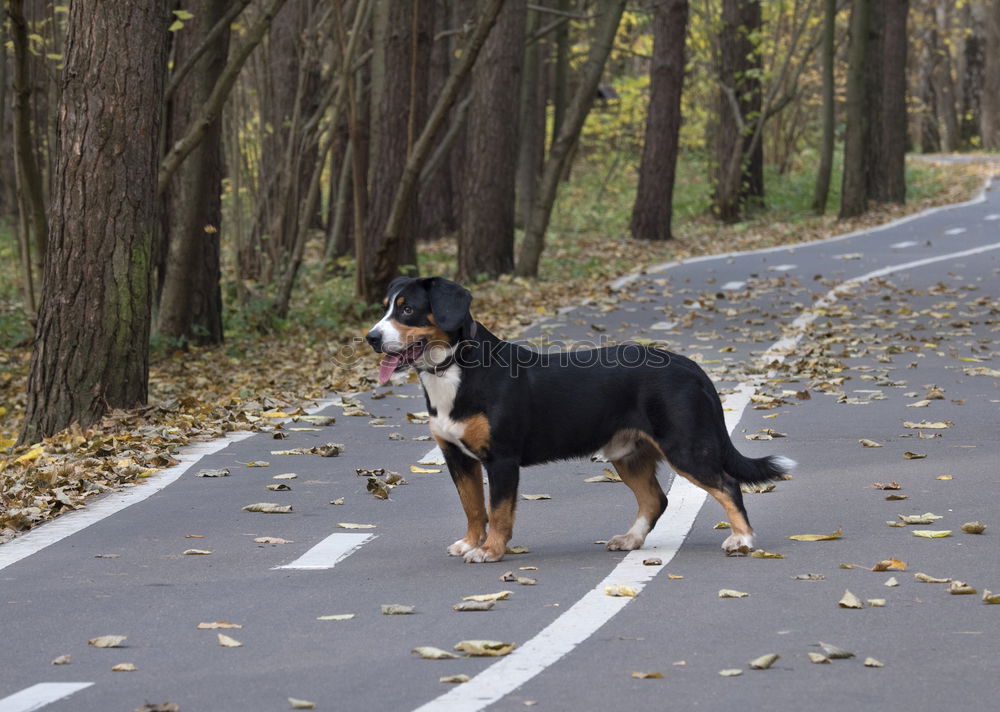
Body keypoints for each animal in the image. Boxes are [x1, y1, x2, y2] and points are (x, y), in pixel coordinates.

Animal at [364, 276, 792, 560]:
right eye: (385, 307)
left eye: (407, 308)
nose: (370, 338)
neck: (454, 371)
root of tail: (690, 366)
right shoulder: (457, 458)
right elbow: (473, 507)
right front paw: (471, 542)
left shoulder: (502, 459)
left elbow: (499, 511)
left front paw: (491, 550)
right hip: (628, 453)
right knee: (654, 500)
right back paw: (630, 540)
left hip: (685, 446)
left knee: (728, 485)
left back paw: (742, 540)